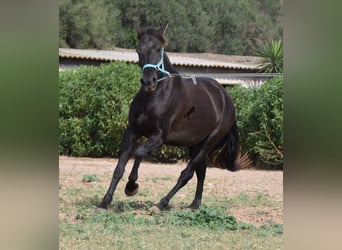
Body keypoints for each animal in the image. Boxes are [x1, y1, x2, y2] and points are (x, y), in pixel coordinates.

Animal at [97, 22, 250, 211]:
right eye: (138, 50)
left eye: (158, 48)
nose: (149, 82)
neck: (155, 96)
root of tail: (226, 98)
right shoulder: (132, 131)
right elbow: (119, 168)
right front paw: (105, 202)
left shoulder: (159, 136)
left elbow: (139, 152)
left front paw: (131, 187)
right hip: (194, 143)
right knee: (201, 171)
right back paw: (194, 204)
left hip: (209, 142)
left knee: (187, 174)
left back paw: (161, 203)